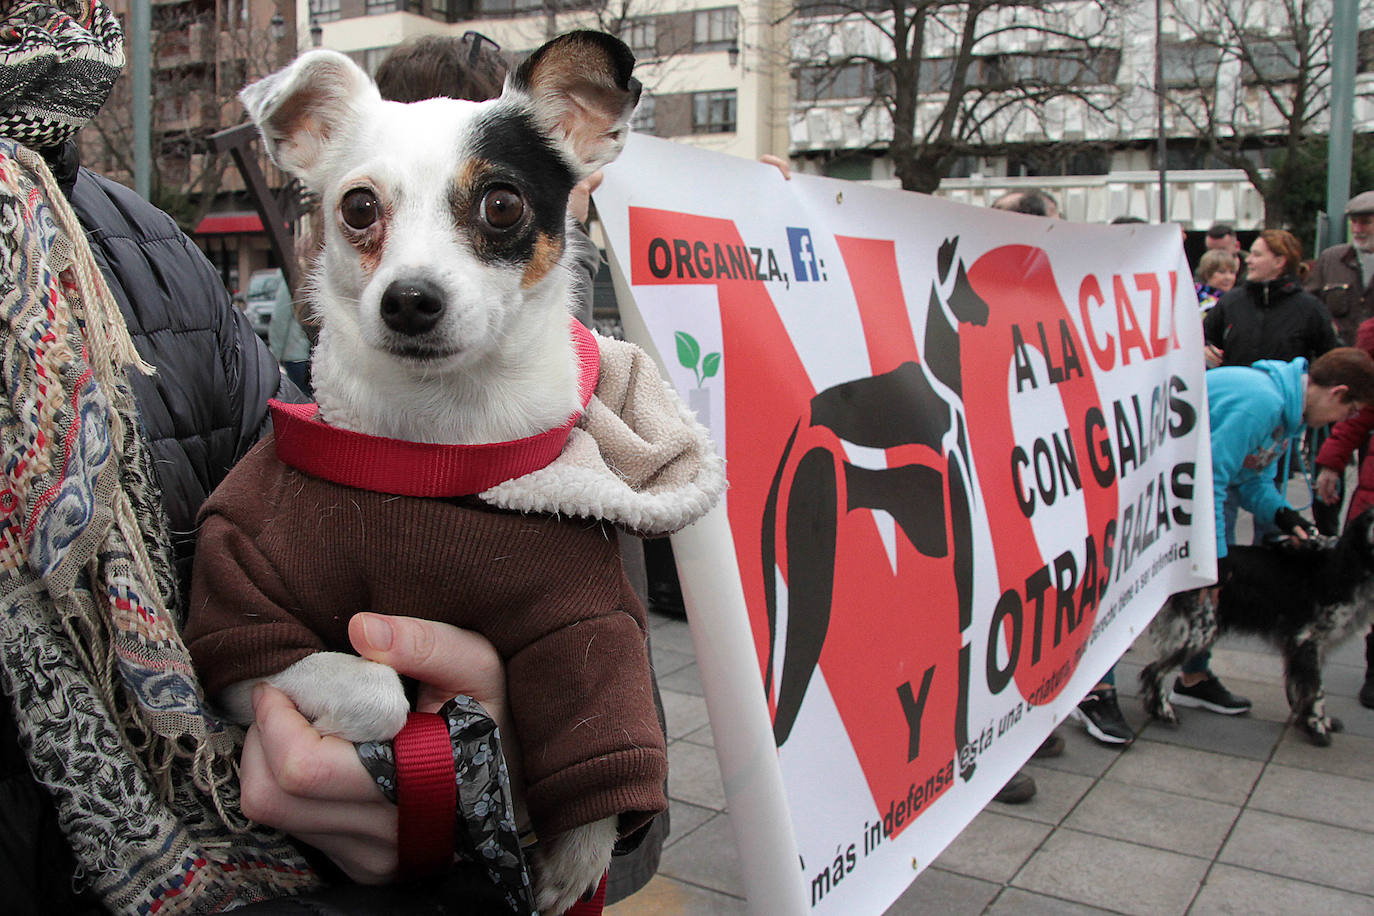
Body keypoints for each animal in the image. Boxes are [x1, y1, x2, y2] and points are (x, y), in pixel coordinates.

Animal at [1137, 508, 1374, 747]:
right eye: (1372, 518)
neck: (1348, 567)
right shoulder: (1305, 640)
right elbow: (1316, 691)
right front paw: (1317, 728)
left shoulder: (1309, 647)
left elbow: (1303, 689)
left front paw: (1315, 721)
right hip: (1200, 632)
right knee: (1152, 670)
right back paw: (1164, 712)